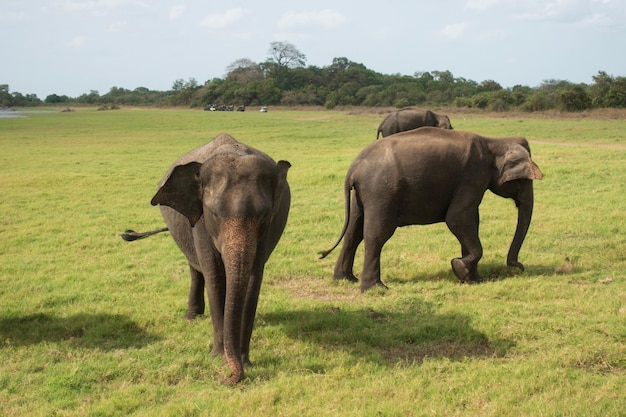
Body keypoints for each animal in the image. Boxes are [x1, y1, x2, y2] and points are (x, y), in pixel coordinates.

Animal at [121, 133, 290, 384]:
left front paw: (244, 361)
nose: (226, 378)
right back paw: (192, 317)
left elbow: (253, 277)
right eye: (214, 214)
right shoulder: (199, 221)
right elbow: (215, 276)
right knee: (196, 268)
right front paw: (218, 357)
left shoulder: (268, 229)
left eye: (264, 215)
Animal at [320, 127, 540, 292]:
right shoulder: (474, 176)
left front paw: (473, 280)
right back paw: (376, 288)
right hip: (381, 191)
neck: (494, 142)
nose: (519, 267)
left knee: (353, 232)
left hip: (361, 195)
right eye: (525, 180)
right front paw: (459, 267)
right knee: (376, 234)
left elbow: (470, 221)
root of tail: (353, 168)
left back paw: (346, 279)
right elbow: (457, 218)